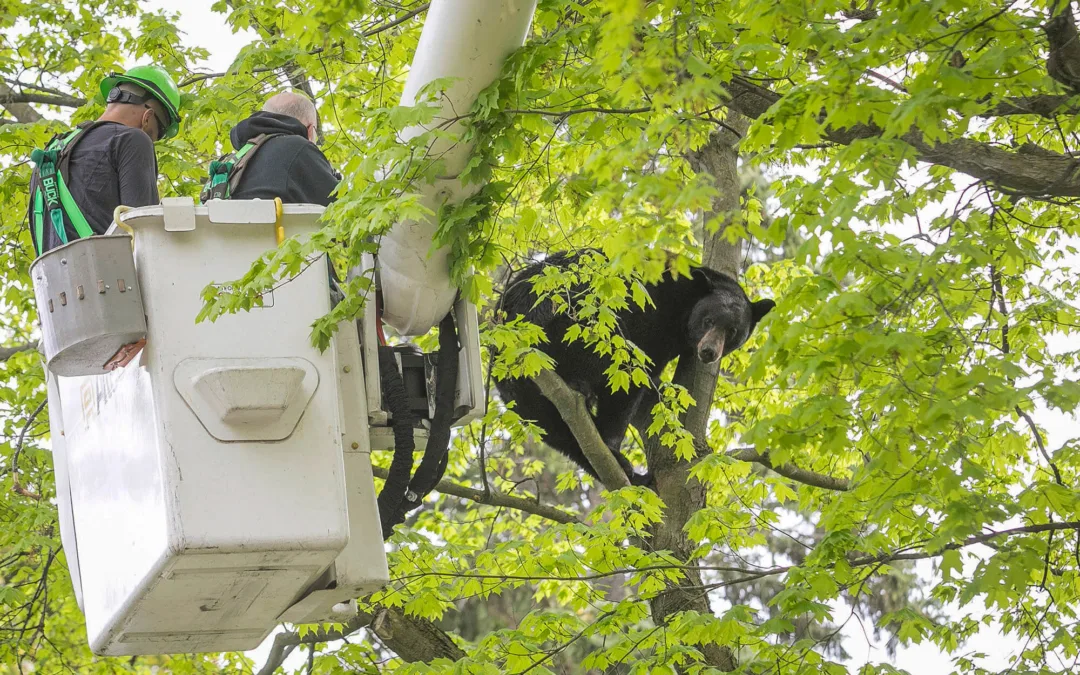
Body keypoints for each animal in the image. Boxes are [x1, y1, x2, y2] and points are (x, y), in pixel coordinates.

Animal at [494, 250, 774, 486]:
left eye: (732, 331)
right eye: (708, 320)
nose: (708, 352)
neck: (685, 299)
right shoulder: (652, 313)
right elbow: (640, 368)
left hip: (523, 396)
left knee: (558, 432)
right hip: (575, 324)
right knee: (619, 371)